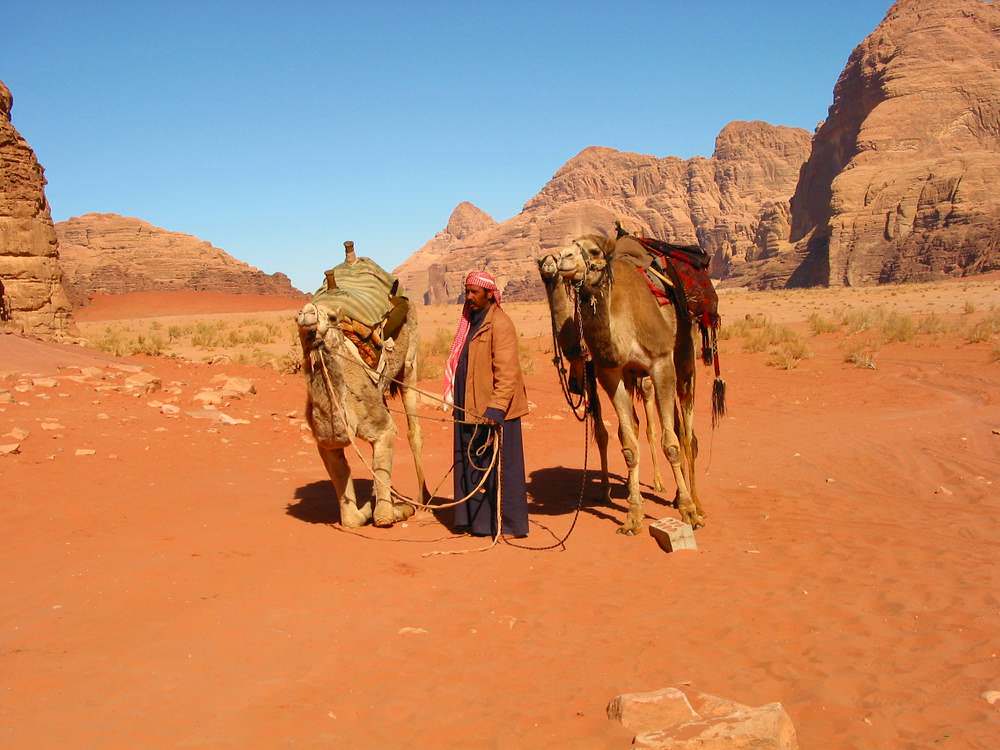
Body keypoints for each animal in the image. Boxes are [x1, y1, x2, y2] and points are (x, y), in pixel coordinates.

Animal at [292, 300, 426, 528]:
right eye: (296, 317)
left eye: (332, 317)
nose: (306, 312)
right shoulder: (326, 444)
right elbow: (349, 515)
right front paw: (368, 508)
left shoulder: (384, 429)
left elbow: (382, 516)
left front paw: (394, 510)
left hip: (410, 365)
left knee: (413, 430)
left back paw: (423, 501)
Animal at [536, 254, 668, 500]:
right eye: (540, 260)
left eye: (554, 258)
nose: (549, 265)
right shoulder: (590, 374)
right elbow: (602, 432)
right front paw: (606, 487)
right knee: (634, 424)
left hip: (646, 376)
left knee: (649, 424)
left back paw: (658, 482)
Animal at [560, 236, 708, 536]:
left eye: (593, 251)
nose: (562, 257)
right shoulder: (611, 373)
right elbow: (628, 445)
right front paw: (633, 516)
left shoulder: (661, 362)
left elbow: (671, 444)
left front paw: (688, 511)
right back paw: (676, 495)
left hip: (685, 358)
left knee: (687, 433)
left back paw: (695, 502)